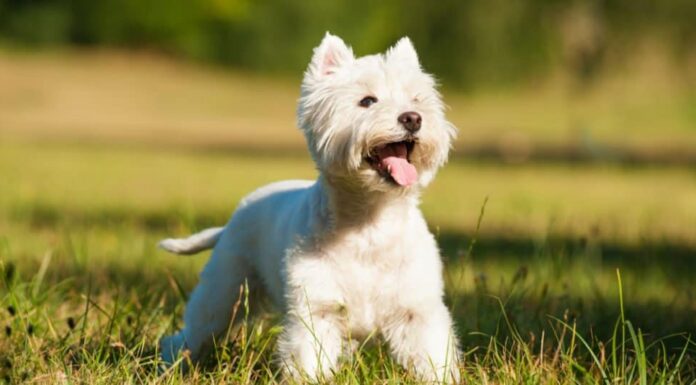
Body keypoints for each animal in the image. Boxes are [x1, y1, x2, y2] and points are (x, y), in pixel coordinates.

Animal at [160, 33, 460, 380]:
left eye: (417, 99)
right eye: (367, 101)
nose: (412, 118)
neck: (369, 224)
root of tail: (234, 217)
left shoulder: (417, 313)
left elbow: (433, 359)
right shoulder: (316, 312)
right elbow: (309, 361)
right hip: (225, 291)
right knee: (191, 334)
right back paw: (170, 365)